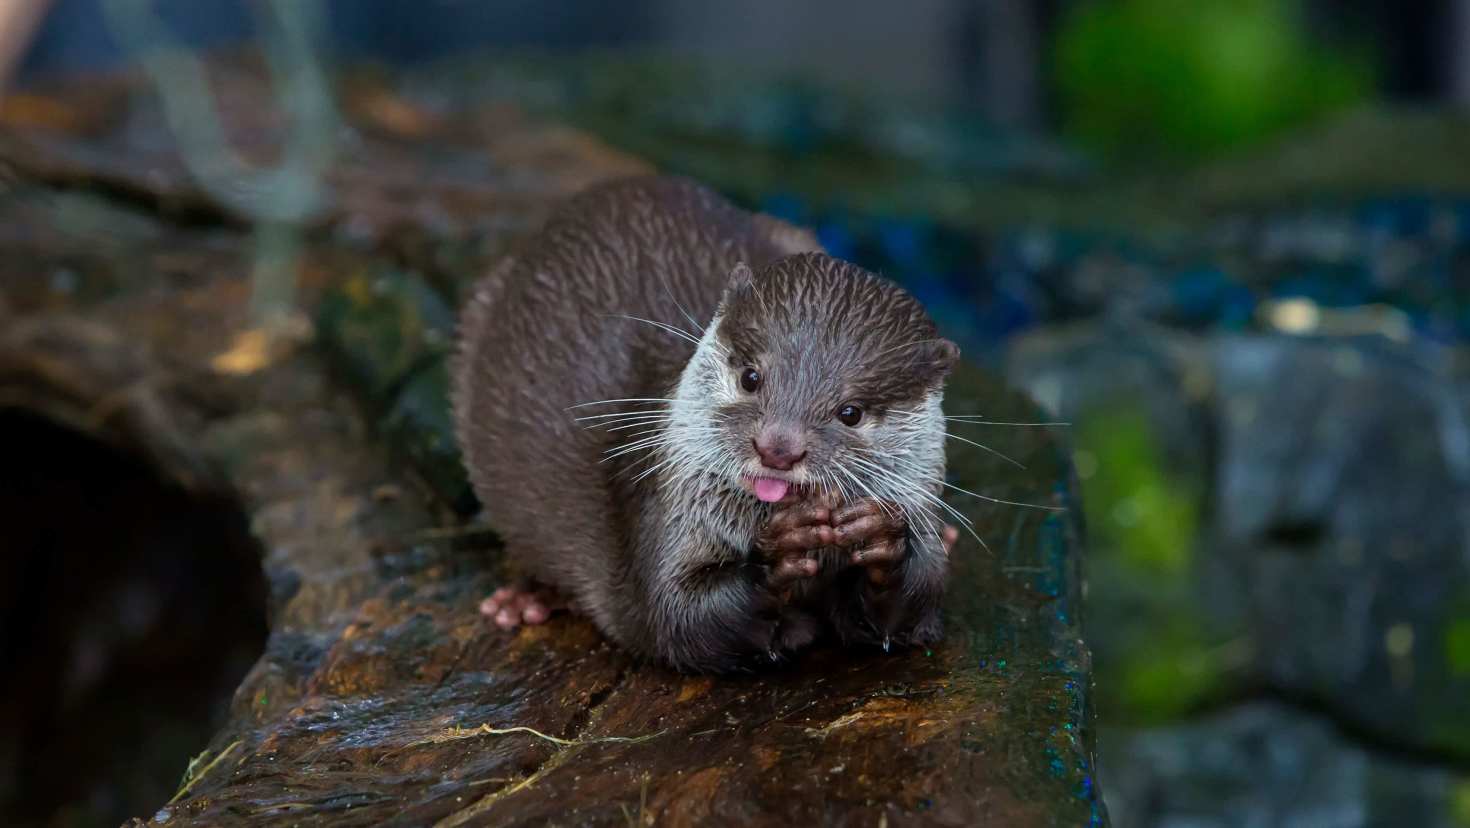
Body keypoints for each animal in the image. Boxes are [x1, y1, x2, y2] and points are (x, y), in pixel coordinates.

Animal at [452, 176, 959, 673]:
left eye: (850, 412)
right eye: (751, 377)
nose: (777, 448)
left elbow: (908, 614)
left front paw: (884, 541)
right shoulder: (663, 509)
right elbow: (674, 616)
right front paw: (777, 556)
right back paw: (524, 600)